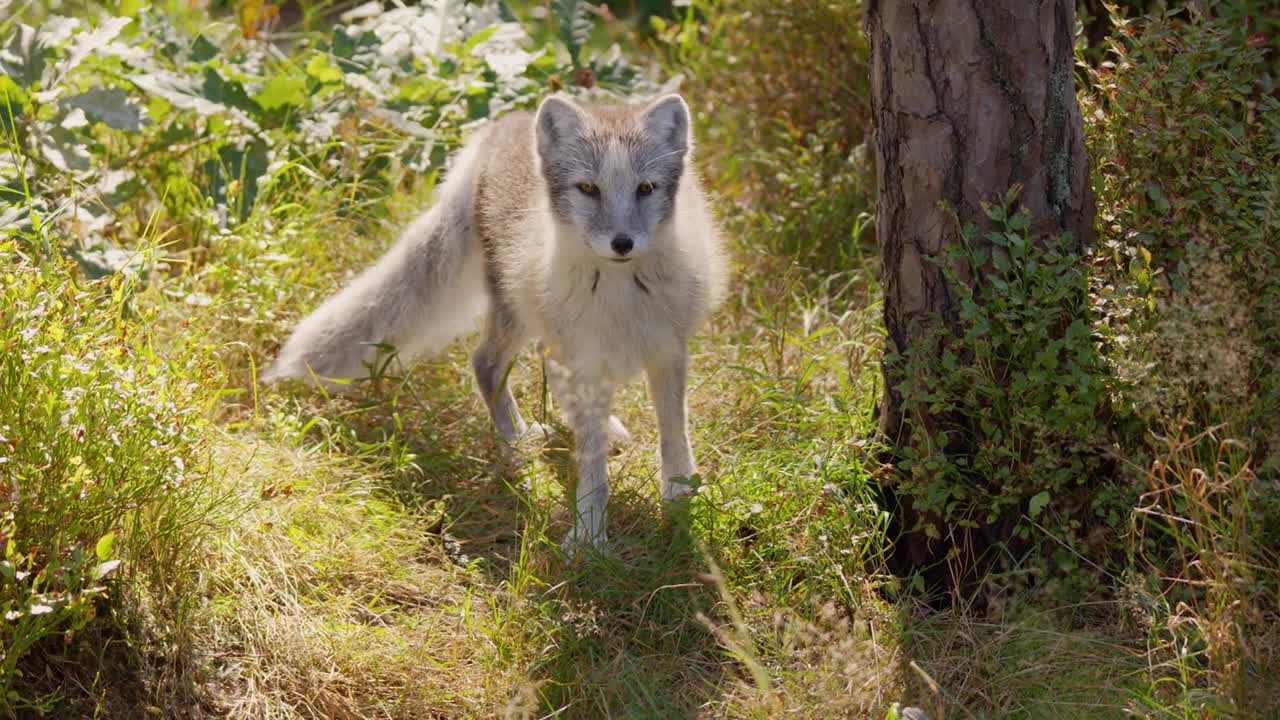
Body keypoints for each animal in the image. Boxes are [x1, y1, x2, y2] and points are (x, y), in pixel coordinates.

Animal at [264, 94, 727, 543]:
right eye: (588, 189)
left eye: (646, 188)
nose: (622, 243)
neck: (621, 290)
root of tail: (505, 124)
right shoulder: (587, 358)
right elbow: (593, 468)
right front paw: (589, 537)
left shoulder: (668, 351)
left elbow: (674, 434)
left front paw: (680, 501)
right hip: (513, 311)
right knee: (486, 365)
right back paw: (517, 445)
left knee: (549, 368)